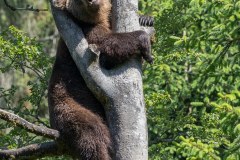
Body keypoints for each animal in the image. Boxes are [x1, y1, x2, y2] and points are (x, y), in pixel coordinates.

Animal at [49, 0, 154, 159]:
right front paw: (144, 41)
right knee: (92, 133)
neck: (100, 18)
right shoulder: (86, 35)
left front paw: (145, 19)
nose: (91, 2)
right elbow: (109, 44)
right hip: (69, 105)